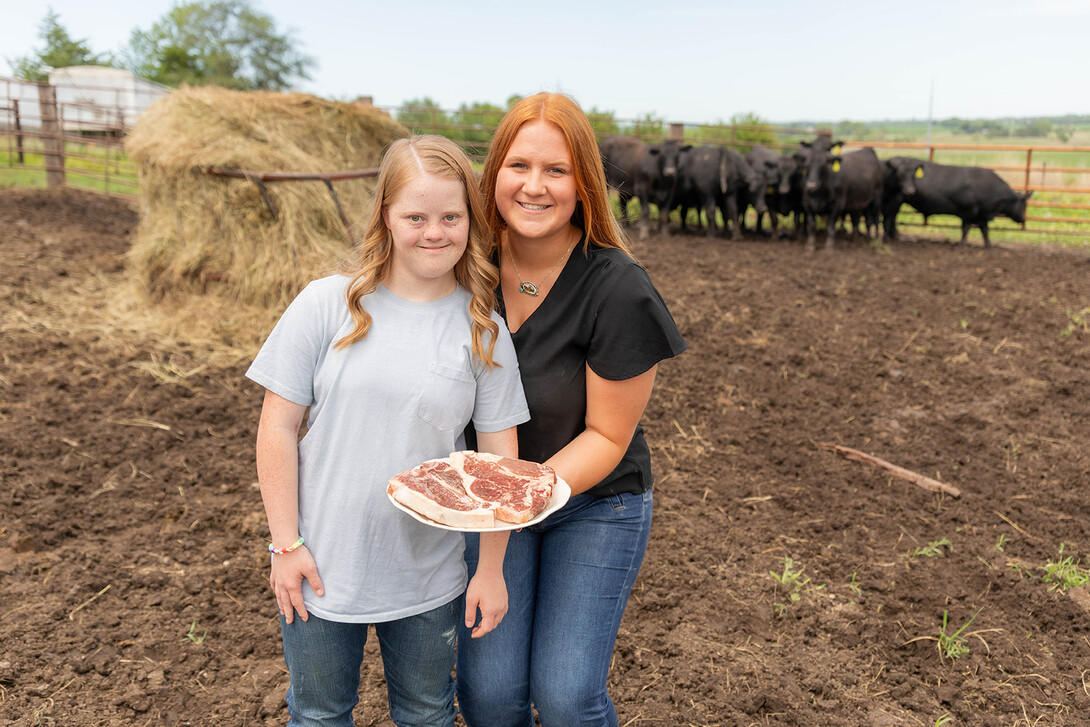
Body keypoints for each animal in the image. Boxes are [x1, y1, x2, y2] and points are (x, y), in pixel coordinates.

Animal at [893, 161, 1028, 247]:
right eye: (1023, 204)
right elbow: (966, 228)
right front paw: (963, 244)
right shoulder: (968, 211)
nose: (1023, 219)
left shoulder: (982, 214)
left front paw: (988, 245)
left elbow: (984, 230)